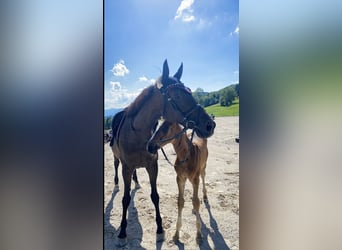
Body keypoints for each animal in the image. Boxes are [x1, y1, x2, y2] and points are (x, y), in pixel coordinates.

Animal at [111, 59, 215, 245]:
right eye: (178, 96)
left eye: (190, 91)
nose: (210, 124)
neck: (137, 134)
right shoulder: (127, 168)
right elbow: (125, 199)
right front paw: (122, 233)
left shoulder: (153, 166)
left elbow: (155, 196)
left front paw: (160, 230)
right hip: (118, 160)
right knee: (116, 167)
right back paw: (118, 184)